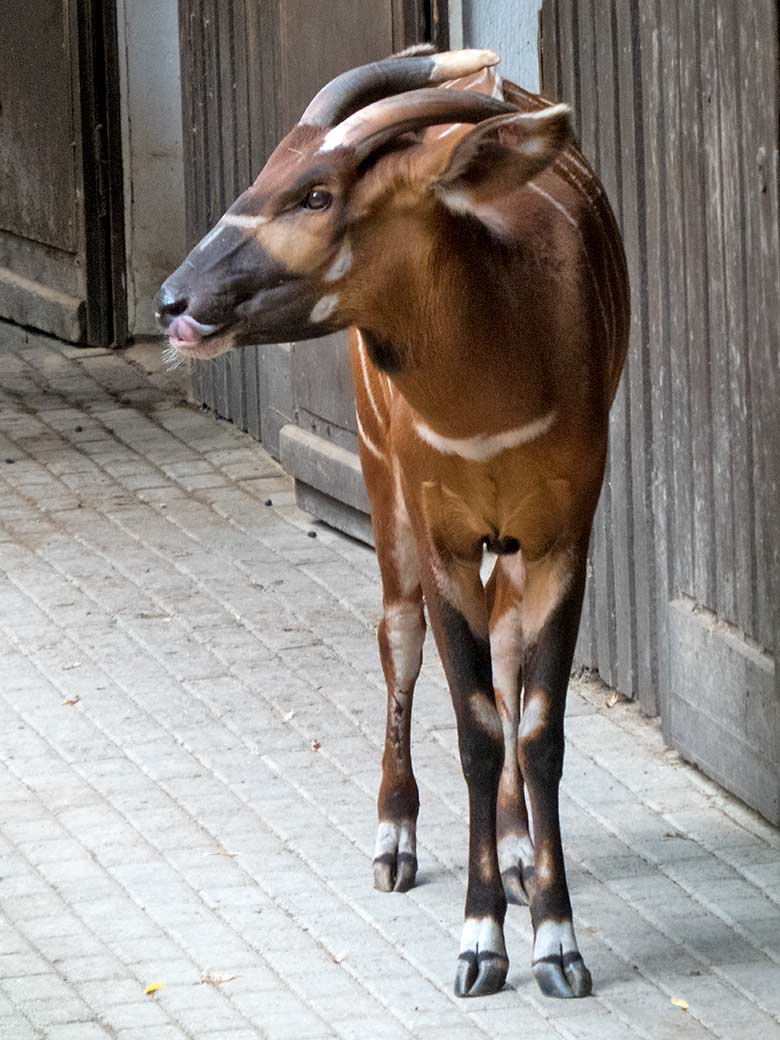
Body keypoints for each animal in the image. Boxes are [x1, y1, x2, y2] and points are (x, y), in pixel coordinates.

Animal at [157, 46, 628, 998]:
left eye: (316, 194)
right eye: (265, 171)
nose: (174, 301)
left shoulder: (564, 535)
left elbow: (537, 728)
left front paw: (557, 942)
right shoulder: (441, 534)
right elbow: (474, 729)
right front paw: (481, 945)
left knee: (505, 654)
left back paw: (516, 852)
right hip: (383, 487)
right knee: (398, 636)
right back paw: (396, 841)